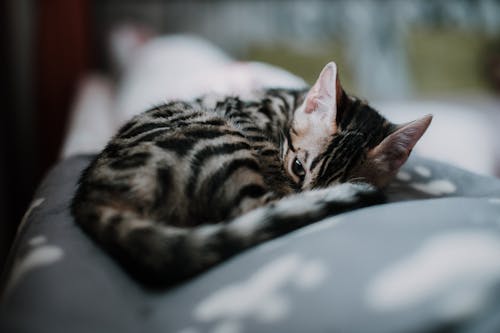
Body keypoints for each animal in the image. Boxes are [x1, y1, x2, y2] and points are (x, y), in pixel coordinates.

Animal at [72, 62, 432, 286]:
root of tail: (90, 197)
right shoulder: (242, 114)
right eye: (297, 167)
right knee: (253, 210)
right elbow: (268, 156)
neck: (289, 104)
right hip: (215, 137)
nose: (303, 191)